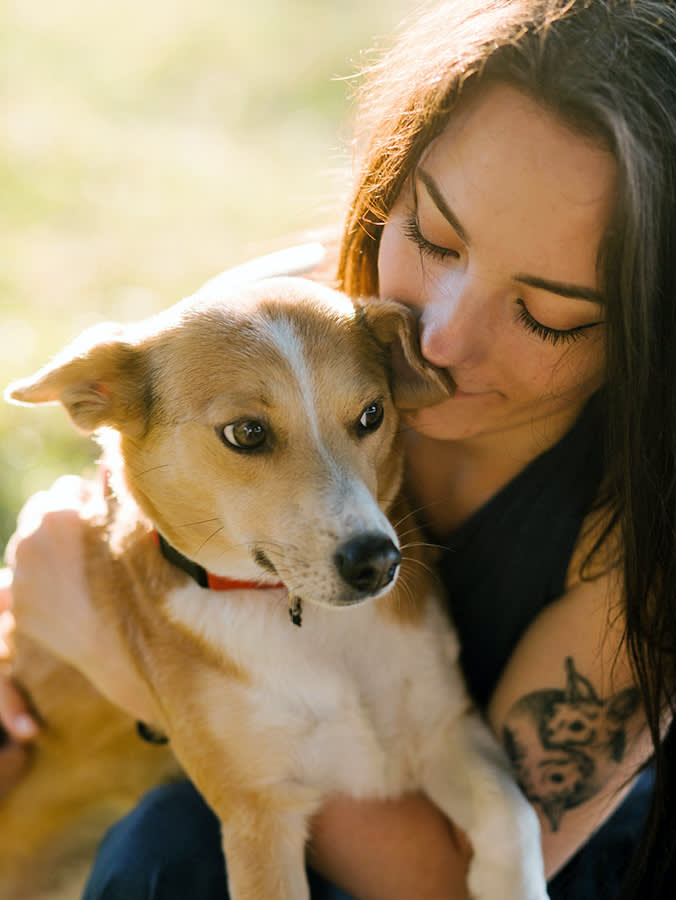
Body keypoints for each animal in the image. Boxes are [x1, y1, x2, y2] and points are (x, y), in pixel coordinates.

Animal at [2, 276, 548, 900]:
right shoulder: (259, 816)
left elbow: (511, 815)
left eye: (371, 414)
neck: (306, 620)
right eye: (247, 433)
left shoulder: (445, 729)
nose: (377, 562)